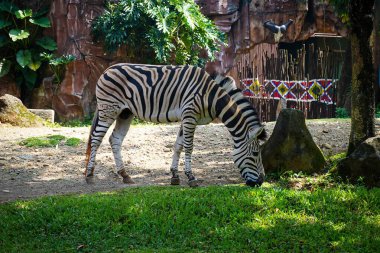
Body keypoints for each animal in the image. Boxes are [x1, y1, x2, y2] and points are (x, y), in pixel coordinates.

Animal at [84, 63, 266, 186]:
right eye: (256, 153)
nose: (261, 182)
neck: (211, 96)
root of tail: (107, 69)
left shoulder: (188, 117)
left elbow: (178, 145)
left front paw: (175, 176)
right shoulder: (190, 115)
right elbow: (189, 147)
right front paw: (191, 177)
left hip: (125, 113)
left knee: (115, 139)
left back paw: (125, 175)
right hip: (109, 110)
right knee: (96, 139)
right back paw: (90, 176)